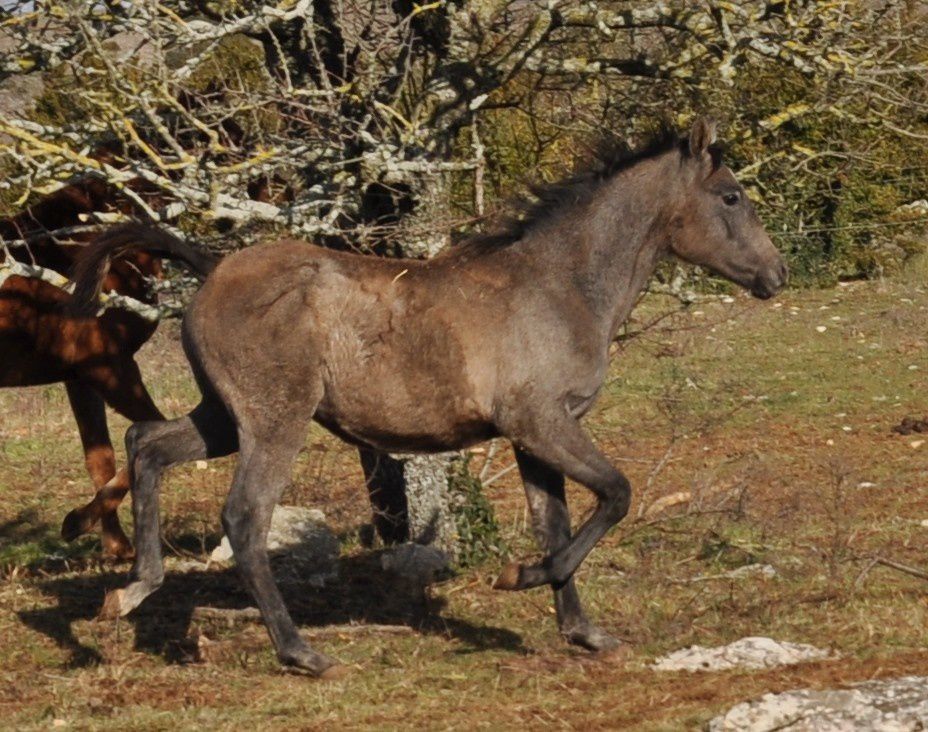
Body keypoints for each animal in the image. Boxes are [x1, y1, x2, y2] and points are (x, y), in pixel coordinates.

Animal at [78, 118, 784, 676]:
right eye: (731, 195)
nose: (776, 275)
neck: (558, 286)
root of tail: (211, 269)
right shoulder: (542, 422)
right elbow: (616, 495)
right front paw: (520, 576)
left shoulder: (533, 438)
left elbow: (556, 523)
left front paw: (583, 632)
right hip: (275, 421)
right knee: (245, 518)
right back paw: (301, 653)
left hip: (224, 419)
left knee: (147, 445)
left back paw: (133, 590)